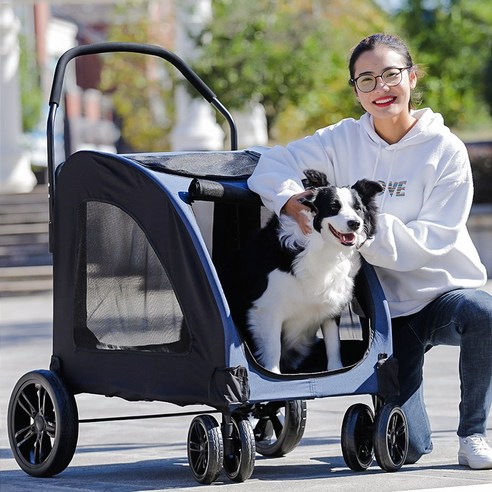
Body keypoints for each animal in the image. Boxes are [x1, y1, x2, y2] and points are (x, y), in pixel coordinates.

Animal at [221, 169, 382, 372]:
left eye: (358, 208)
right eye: (333, 206)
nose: (355, 223)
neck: (320, 246)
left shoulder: (331, 307)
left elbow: (333, 345)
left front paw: (336, 369)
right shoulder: (268, 309)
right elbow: (273, 349)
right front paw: (274, 375)